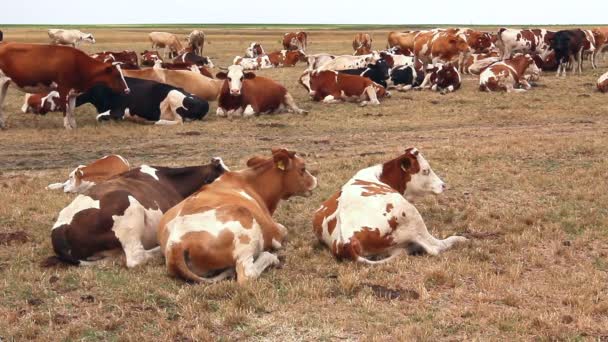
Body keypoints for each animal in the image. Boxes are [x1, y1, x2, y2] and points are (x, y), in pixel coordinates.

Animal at [0, 41, 129, 130]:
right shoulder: (63, 89)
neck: (78, 64)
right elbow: (65, 109)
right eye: (117, 75)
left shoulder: (73, 92)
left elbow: (71, 110)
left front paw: (74, 126)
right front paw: (67, 127)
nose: (127, 90)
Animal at [76, 77, 210, 125]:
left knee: (178, 121)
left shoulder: (120, 109)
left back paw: (155, 121)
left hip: (173, 95)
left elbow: (98, 117)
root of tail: (205, 103)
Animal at [157, 148, 318, 284]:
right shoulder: (274, 231)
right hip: (244, 223)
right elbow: (284, 230)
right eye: (303, 168)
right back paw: (270, 257)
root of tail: (175, 244)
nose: (316, 180)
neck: (251, 182)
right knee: (246, 274)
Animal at [314, 148, 466, 264]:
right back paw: (459, 239)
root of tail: (345, 241)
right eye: (425, 170)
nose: (443, 185)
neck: (379, 176)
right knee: (435, 247)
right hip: (412, 215)